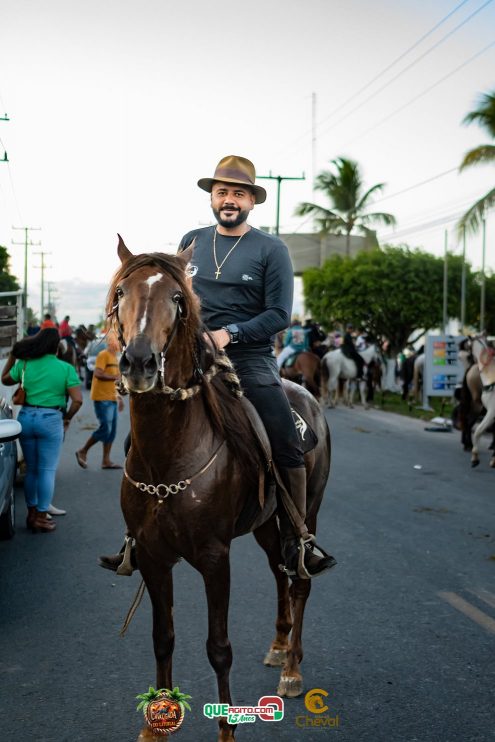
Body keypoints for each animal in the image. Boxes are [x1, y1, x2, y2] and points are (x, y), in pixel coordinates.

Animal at [108, 238, 334, 742]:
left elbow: (218, 647)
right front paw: (157, 725)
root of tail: (305, 393)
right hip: (268, 525)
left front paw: (227, 729)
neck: (169, 455)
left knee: (300, 578)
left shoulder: (215, 558)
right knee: (279, 572)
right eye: (121, 293)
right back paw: (278, 644)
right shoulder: (152, 556)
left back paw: (291, 669)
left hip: (304, 513)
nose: (139, 363)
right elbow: (163, 638)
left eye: (177, 297)